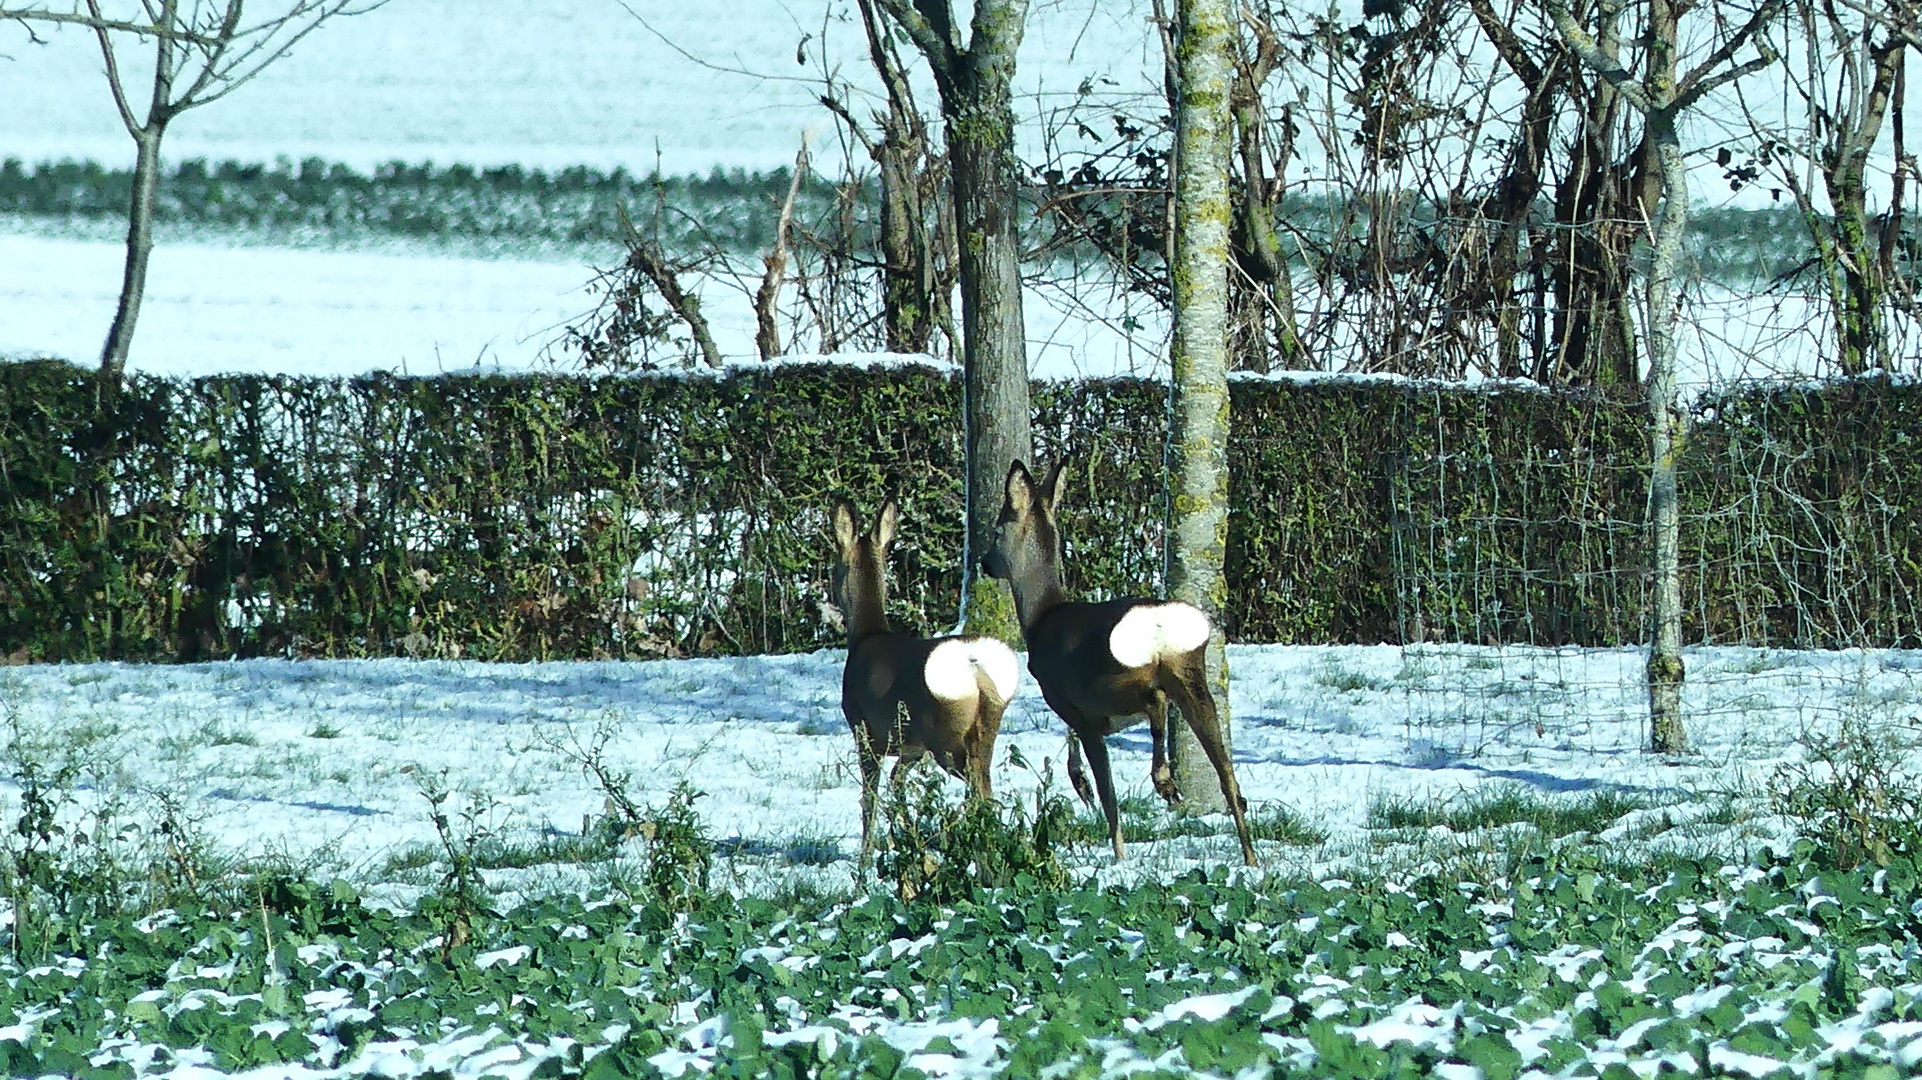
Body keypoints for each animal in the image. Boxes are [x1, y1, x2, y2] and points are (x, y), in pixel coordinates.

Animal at [834, 495, 1030, 864]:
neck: (865, 637)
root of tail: (976, 669)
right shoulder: (912, 746)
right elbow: (897, 786)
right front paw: (908, 841)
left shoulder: (865, 731)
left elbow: (870, 799)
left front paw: (865, 865)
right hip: (984, 726)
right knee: (988, 792)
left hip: (947, 735)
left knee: (979, 793)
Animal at [976, 457, 1260, 860]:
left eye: (998, 530)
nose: (985, 563)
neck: (1040, 619)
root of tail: (1162, 625)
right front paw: (1080, 783)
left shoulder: (1076, 703)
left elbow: (1106, 790)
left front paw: (1117, 848)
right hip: (1191, 674)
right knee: (1226, 772)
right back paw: (1250, 856)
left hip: (1117, 676)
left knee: (1156, 702)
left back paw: (1165, 783)